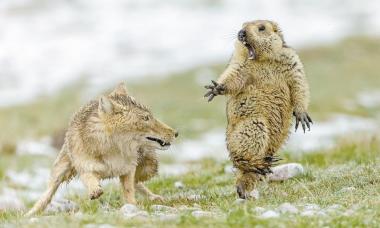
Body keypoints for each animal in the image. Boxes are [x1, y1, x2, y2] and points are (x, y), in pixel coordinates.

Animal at [26, 83, 178, 216]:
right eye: (145, 118)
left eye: (150, 116)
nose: (176, 133)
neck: (113, 150)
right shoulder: (86, 168)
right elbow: (90, 179)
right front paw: (95, 191)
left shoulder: (128, 170)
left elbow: (129, 191)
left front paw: (132, 207)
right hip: (60, 171)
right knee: (48, 193)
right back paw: (31, 213)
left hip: (148, 168)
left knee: (138, 182)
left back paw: (155, 198)